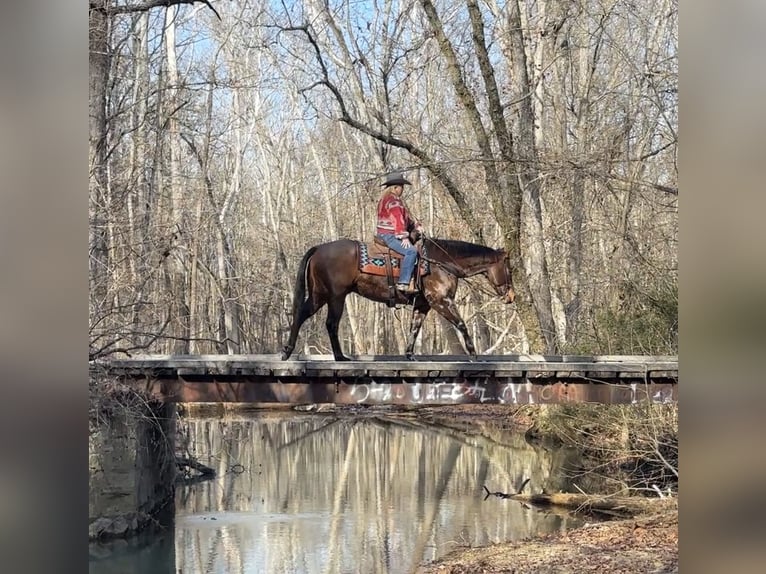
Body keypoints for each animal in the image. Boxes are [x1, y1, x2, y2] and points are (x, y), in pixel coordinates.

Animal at [280, 236, 516, 361]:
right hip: (335, 297)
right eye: (509, 268)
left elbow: (414, 328)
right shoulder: (441, 301)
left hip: (320, 295)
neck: (440, 262)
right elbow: (461, 324)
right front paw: (474, 355)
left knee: (302, 314)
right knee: (330, 323)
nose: (511, 296)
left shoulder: (423, 305)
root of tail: (319, 248)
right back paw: (335, 356)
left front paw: (410, 354)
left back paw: (289, 351)